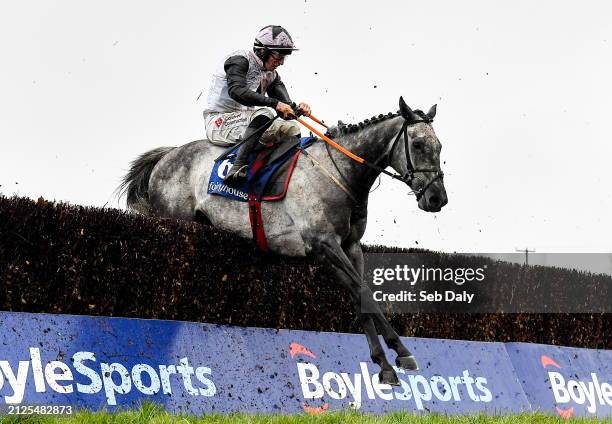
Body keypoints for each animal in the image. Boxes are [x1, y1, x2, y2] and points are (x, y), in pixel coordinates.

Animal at [119, 97, 448, 386]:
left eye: (440, 146)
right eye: (417, 144)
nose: (437, 199)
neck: (340, 171)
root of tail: (167, 155)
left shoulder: (351, 247)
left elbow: (360, 297)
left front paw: (384, 366)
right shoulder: (323, 245)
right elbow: (364, 292)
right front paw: (402, 353)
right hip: (176, 222)